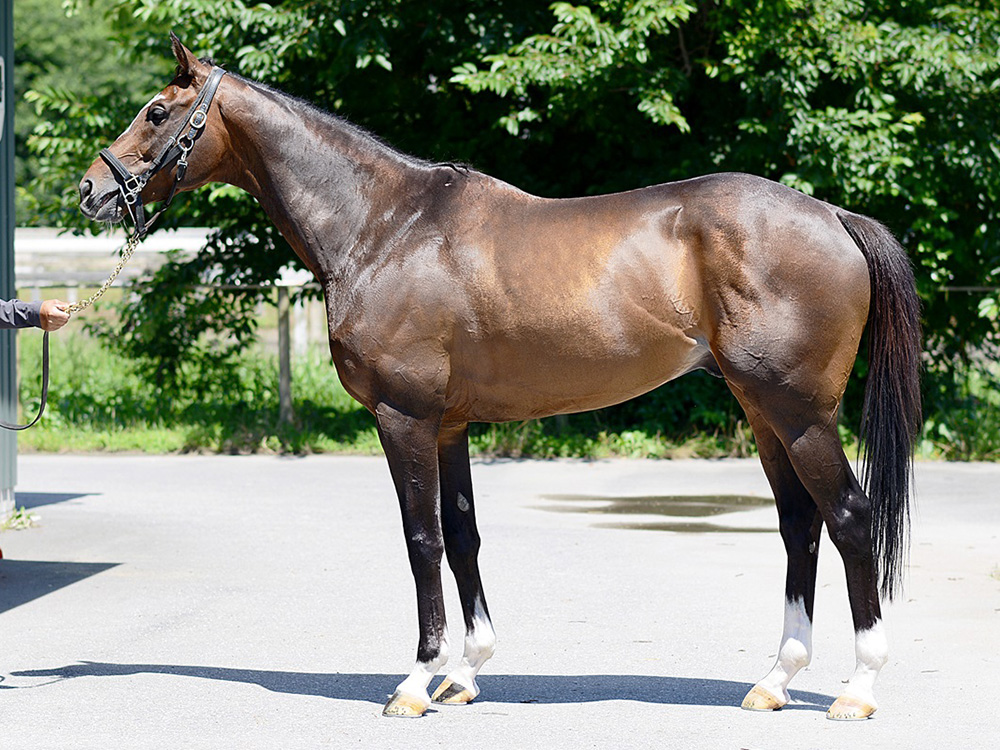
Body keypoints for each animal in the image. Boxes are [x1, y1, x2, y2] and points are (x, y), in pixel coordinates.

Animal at [78, 35, 920, 724]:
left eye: (157, 113)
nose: (92, 190)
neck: (383, 227)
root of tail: (833, 216)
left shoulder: (404, 417)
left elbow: (421, 539)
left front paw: (416, 682)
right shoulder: (449, 426)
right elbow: (463, 538)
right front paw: (465, 673)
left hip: (799, 412)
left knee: (849, 518)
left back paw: (857, 690)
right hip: (763, 411)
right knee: (800, 525)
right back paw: (774, 682)